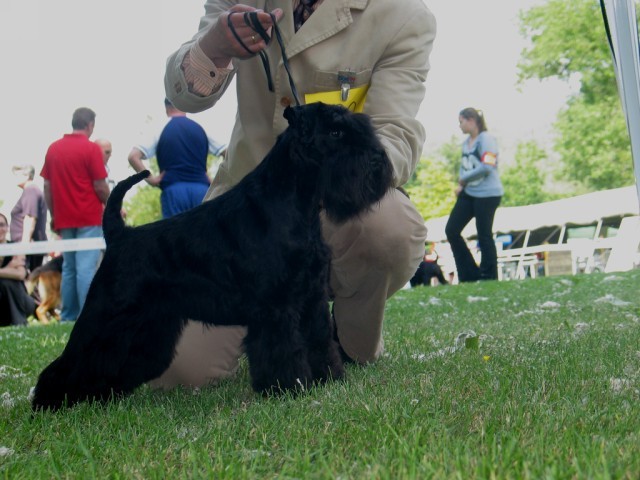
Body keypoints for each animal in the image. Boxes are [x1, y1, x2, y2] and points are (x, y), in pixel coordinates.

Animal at [33, 103, 396, 410]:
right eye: (335, 133)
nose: (378, 160)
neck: (293, 203)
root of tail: (119, 234)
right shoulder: (277, 306)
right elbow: (282, 348)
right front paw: (287, 387)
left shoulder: (311, 298)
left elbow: (319, 340)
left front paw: (328, 379)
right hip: (105, 315)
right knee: (76, 357)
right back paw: (49, 400)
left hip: (146, 325)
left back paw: (102, 394)